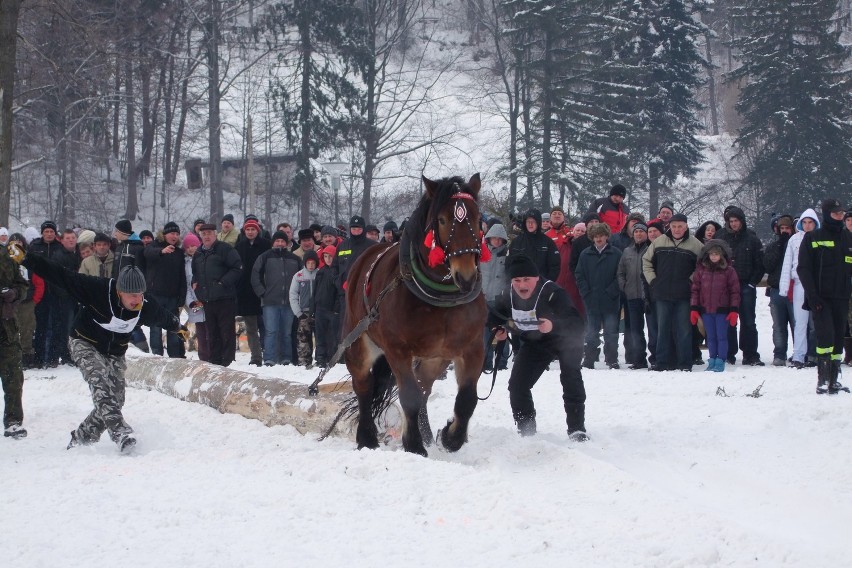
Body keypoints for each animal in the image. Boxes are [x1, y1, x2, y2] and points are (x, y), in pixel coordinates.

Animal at [340, 173, 486, 458]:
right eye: (442, 220)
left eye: (477, 219)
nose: (466, 277)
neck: (441, 300)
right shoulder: (397, 350)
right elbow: (409, 395)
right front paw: (414, 445)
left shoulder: (472, 347)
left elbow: (467, 399)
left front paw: (451, 437)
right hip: (359, 341)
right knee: (364, 386)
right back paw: (367, 437)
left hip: (435, 358)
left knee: (425, 388)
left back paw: (427, 433)